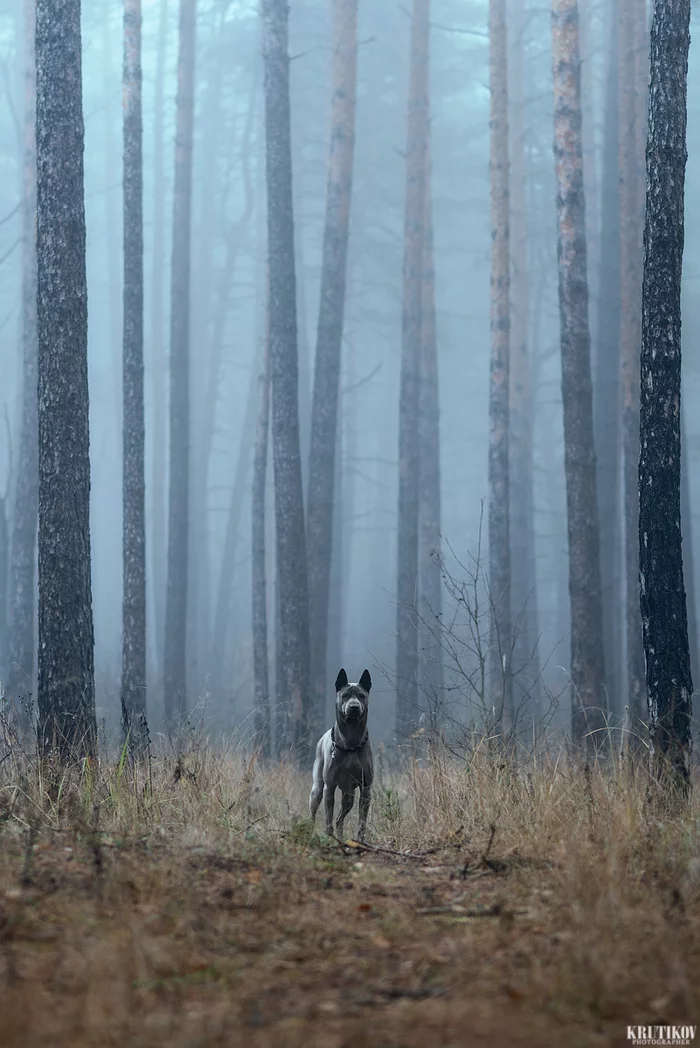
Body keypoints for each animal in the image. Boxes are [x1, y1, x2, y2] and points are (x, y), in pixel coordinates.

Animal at [310, 670, 375, 842]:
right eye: (345, 695)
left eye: (361, 695)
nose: (354, 707)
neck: (351, 743)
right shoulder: (329, 787)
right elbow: (328, 820)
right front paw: (329, 838)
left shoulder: (366, 789)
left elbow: (362, 821)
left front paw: (360, 841)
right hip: (317, 789)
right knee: (313, 814)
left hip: (349, 795)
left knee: (340, 818)